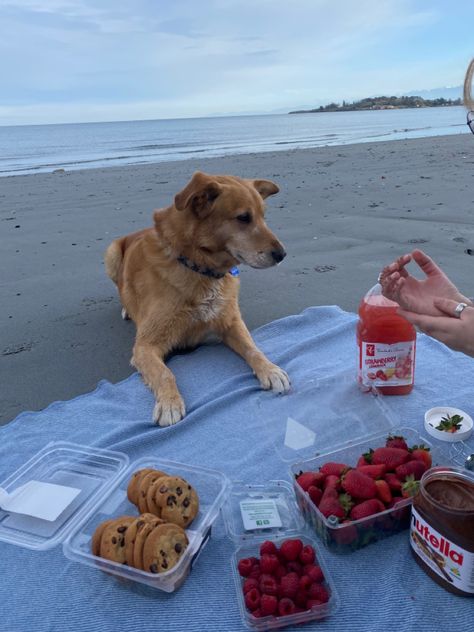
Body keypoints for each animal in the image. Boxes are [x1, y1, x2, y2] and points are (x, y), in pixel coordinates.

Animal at [104, 170, 288, 424]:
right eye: (243, 218)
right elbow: (165, 373)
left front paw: (270, 369)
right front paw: (170, 403)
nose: (282, 255)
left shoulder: (230, 323)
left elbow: (253, 348)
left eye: (263, 216)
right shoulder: (145, 346)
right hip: (111, 253)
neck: (199, 268)